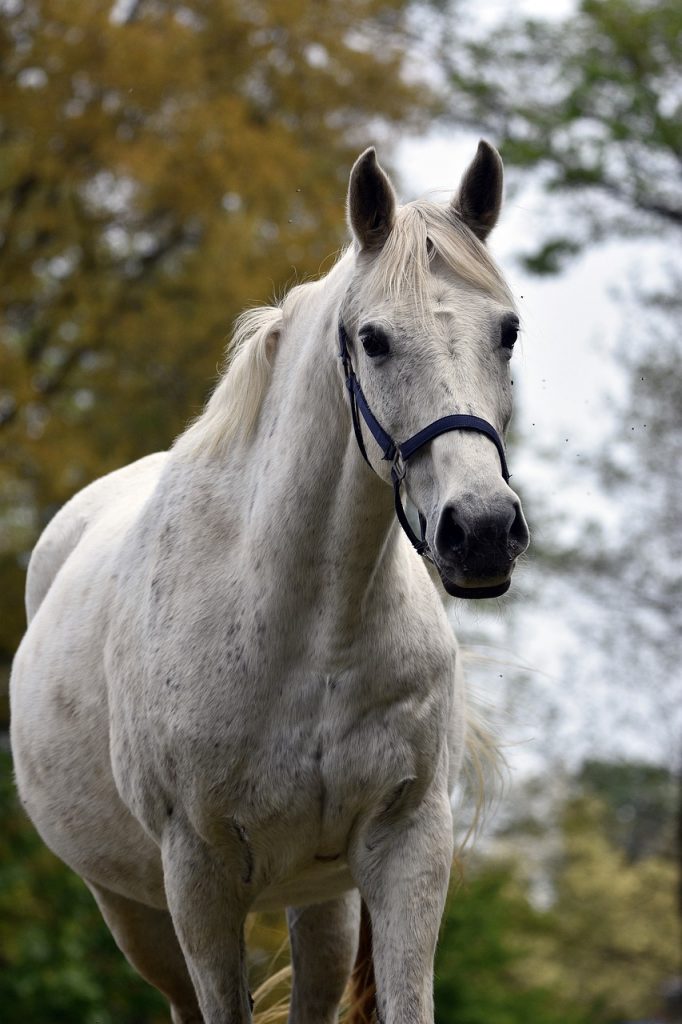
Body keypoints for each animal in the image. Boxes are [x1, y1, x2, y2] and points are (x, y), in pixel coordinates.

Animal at [10, 140, 529, 1024]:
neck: (305, 626)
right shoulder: (200, 875)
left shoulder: (406, 848)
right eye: (374, 340)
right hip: (136, 912)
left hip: (321, 903)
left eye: (509, 331)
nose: (484, 530)